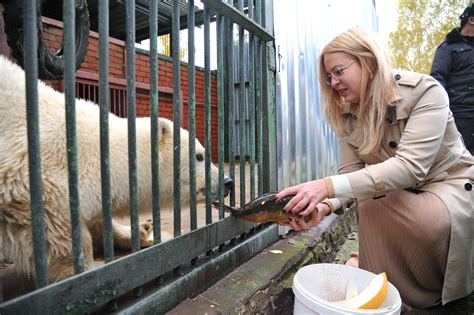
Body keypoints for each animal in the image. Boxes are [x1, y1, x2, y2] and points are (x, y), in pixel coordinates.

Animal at [0, 55, 233, 282]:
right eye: (199, 156)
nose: (228, 182)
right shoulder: (35, 185)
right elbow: (61, 235)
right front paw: (93, 269)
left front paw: (140, 229)